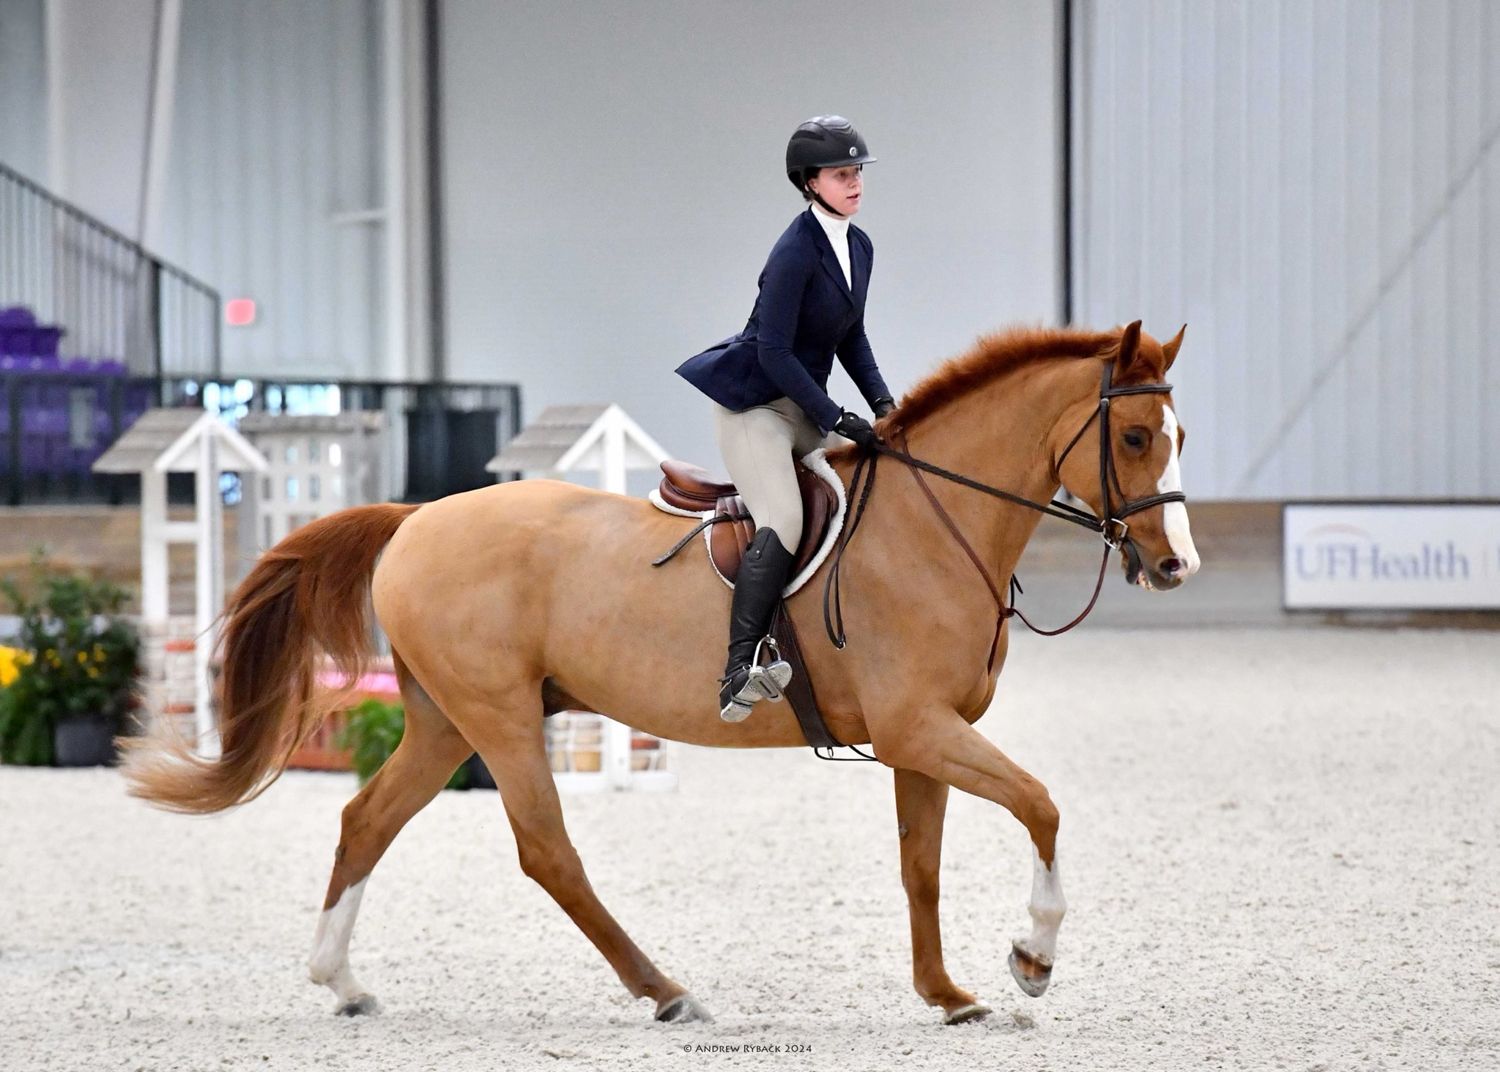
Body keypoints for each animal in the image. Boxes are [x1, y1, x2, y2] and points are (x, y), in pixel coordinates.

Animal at [120, 322, 1194, 1025]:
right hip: (499, 717)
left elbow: (919, 865)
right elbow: (1041, 804)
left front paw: (949, 995)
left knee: (365, 821)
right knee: (547, 851)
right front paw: (1031, 960)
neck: (936, 524)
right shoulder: (918, 727)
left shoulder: (919, 740)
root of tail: (415, 517)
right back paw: (666, 990)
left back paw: (341, 983)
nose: (1174, 565)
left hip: (441, 721)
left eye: (1176, 436)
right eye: (1135, 437)